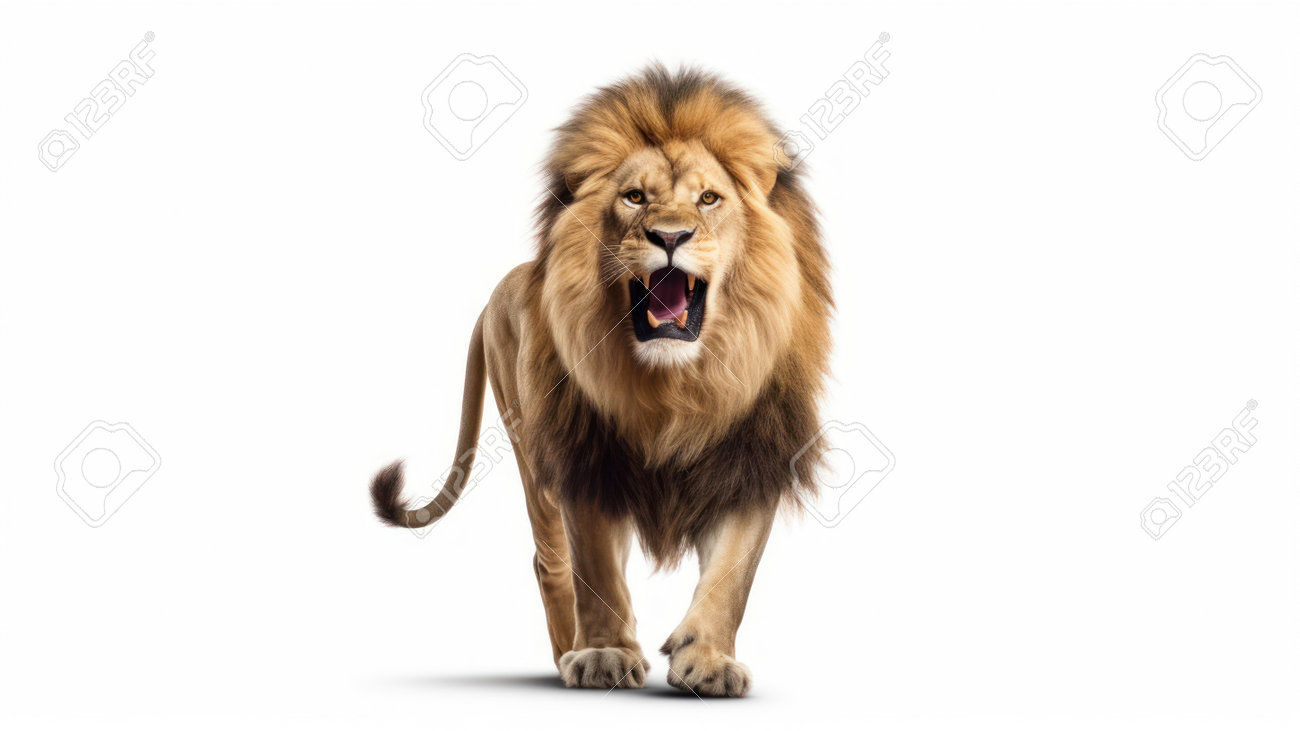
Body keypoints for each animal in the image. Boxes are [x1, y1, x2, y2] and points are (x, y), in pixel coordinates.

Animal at [370, 65, 832, 697]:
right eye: (635, 197)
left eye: (709, 198)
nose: (670, 236)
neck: (676, 386)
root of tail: (503, 286)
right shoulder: (584, 457)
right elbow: (597, 571)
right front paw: (604, 655)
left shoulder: (751, 459)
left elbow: (731, 576)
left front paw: (708, 661)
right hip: (530, 448)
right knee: (552, 562)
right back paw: (568, 652)